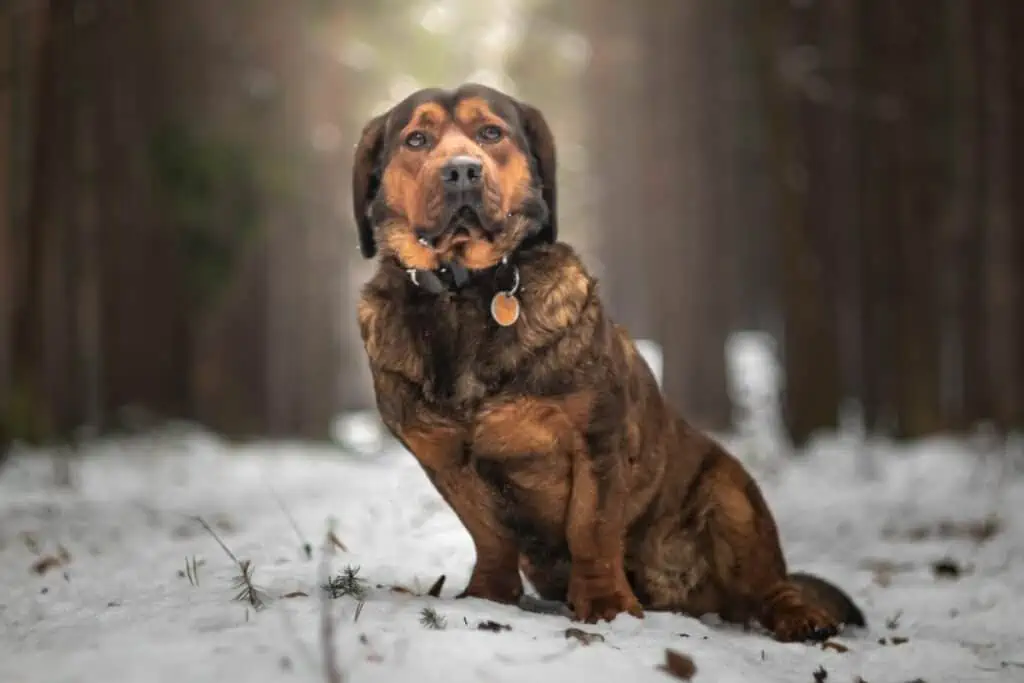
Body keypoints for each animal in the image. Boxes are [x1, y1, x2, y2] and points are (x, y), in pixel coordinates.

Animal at [352, 83, 864, 643]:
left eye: (490, 132)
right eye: (416, 139)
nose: (462, 170)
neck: (465, 295)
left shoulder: (596, 437)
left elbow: (591, 528)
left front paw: (605, 604)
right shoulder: (444, 458)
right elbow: (488, 533)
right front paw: (490, 594)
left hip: (732, 496)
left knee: (771, 584)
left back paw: (799, 615)